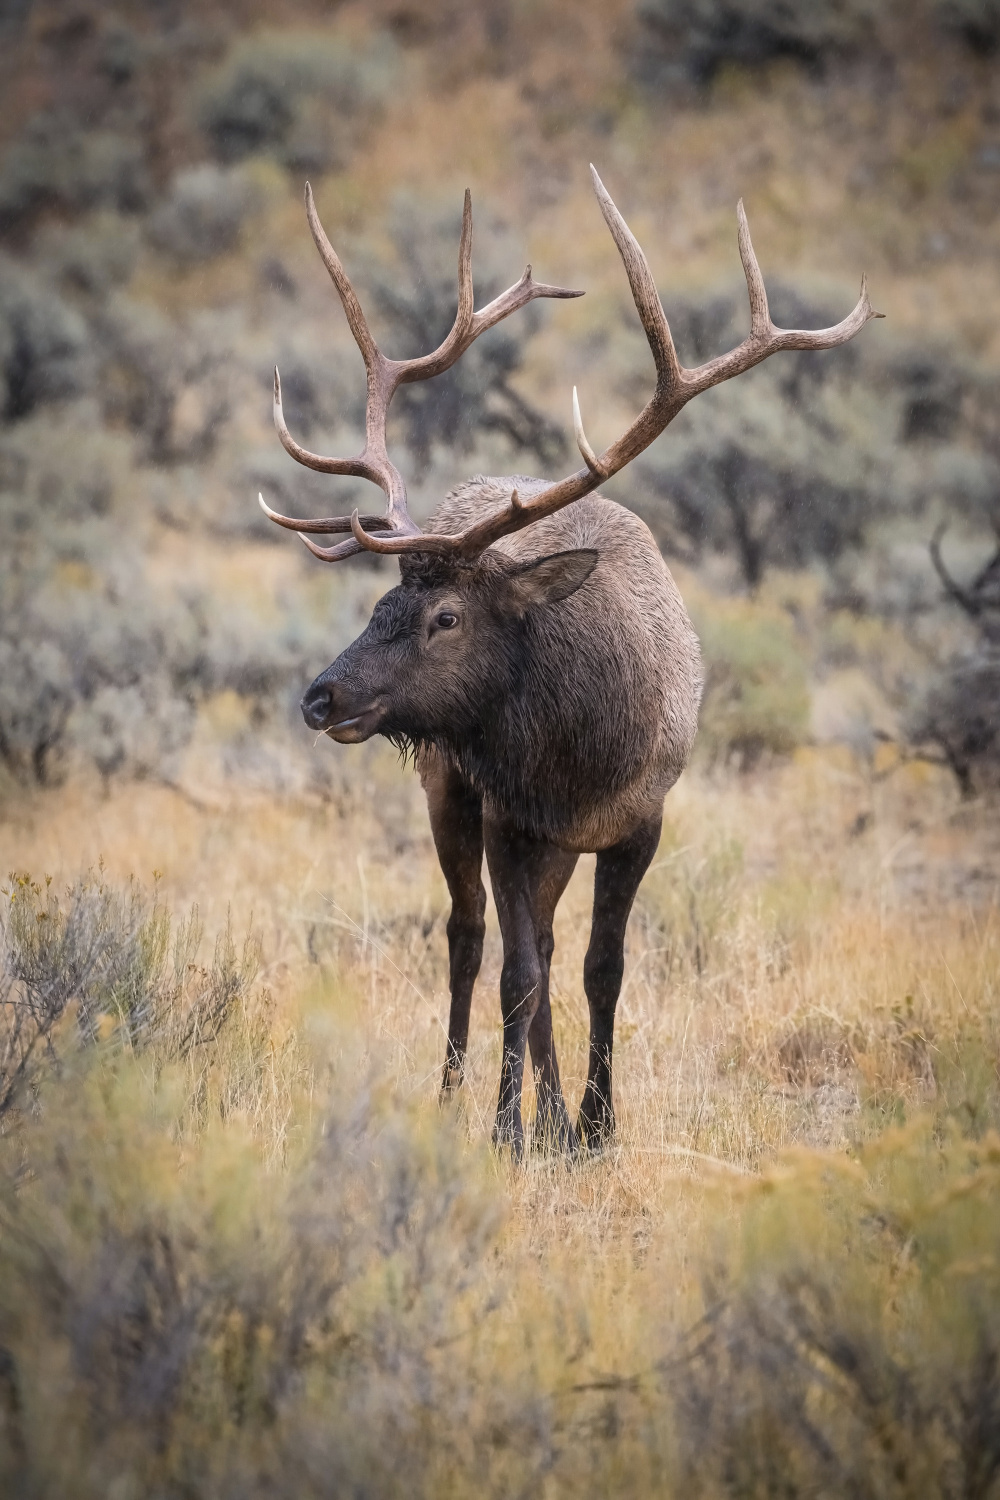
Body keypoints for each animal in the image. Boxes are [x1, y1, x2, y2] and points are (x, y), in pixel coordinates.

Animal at [260, 170, 881, 1158]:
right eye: (377, 605)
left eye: (443, 617)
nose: (322, 697)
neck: (580, 755)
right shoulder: (511, 817)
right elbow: (518, 971)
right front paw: (506, 1130)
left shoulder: (641, 822)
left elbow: (600, 968)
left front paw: (593, 1123)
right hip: (451, 790)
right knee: (470, 937)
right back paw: (460, 1096)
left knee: (544, 950)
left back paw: (552, 1111)